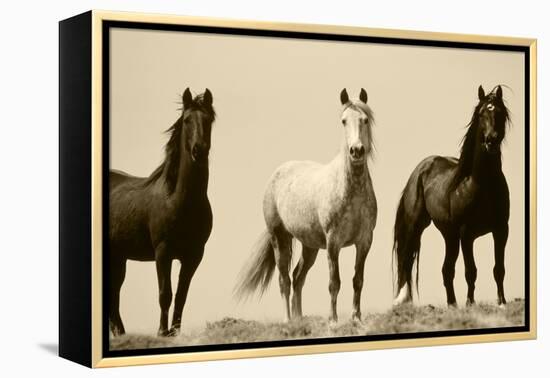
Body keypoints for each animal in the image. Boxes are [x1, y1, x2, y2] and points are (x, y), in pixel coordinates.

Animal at [109, 88, 216, 336]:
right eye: (187, 120)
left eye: (208, 120)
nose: (199, 150)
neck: (179, 200)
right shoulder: (163, 252)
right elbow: (165, 294)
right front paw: (161, 332)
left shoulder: (194, 255)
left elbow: (181, 295)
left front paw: (174, 332)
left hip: (119, 257)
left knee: (114, 294)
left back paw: (120, 333)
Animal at [237, 88, 380, 322]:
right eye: (343, 121)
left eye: (365, 119)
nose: (356, 151)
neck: (351, 191)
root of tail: (277, 174)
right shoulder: (333, 243)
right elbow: (334, 283)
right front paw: (333, 321)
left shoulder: (364, 241)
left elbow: (357, 280)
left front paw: (356, 318)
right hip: (280, 238)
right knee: (284, 280)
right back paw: (288, 320)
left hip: (309, 246)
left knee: (298, 277)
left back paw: (299, 319)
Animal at [394, 85, 512, 308]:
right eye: (481, 113)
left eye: (500, 112)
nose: (491, 140)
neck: (481, 184)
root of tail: (420, 169)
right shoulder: (467, 234)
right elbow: (471, 271)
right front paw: (470, 303)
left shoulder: (501, 230)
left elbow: (499, 269)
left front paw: (501, 302)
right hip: (417, 227)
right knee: (406, 260)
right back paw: (403, 300)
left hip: (450, 235)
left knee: (446, 270)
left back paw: (452, 305)